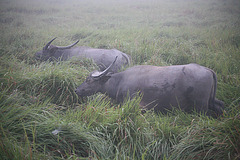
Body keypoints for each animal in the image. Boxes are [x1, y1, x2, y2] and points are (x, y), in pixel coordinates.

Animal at [74, 57, 223, 115]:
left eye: (88, 80)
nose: (77, 90)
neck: (120, 81)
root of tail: (207, 70)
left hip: (201, 106)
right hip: (211, 101)